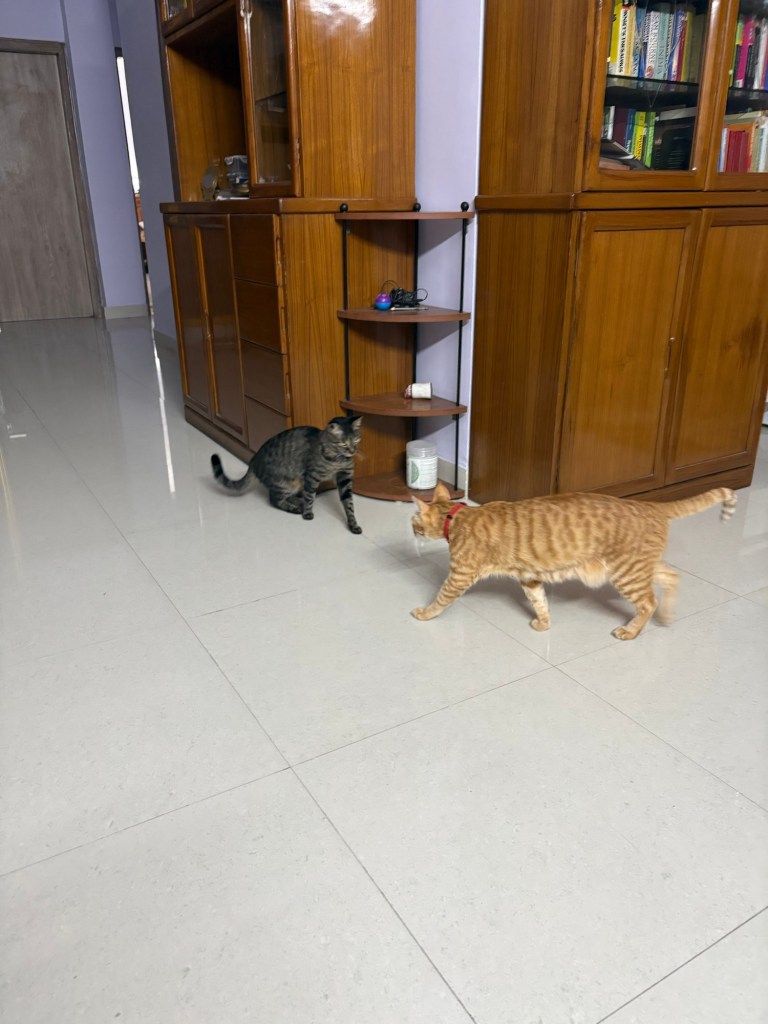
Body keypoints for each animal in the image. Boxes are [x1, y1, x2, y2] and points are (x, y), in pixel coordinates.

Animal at [211, 415, 363, 533]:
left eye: (356, 441)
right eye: (343, 444)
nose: (353, 451)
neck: (337, 460)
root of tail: (254, 459)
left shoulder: (345, 477)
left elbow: (349, 503)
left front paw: (353, 524)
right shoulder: (312, 476)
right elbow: (310, 496)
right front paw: (307, 513)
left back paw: (297, 501)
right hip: (287, 483)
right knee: (274, 500)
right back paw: (295, 508)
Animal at [410, 481, 737, 640]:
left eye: (413, 520)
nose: (411, 528)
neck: (457, 516)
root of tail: (651, 505)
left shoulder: (460, 575)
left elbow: (440, 599)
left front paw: (423, 614)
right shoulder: (530, 577)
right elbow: (540, 602)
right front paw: (544, 624)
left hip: (626, 573)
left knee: (647, 602)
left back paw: (631, 631)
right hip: (641, 567)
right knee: (672, 577)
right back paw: (667, 616)